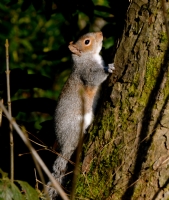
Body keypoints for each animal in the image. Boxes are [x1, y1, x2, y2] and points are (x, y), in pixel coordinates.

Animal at [46, 31, 114, 198]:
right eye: (87, 41)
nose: (101, 33)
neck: (85, 58)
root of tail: (65, 144)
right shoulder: (86, 73)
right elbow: (95, 77)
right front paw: (108, 68)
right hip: (76, 124)